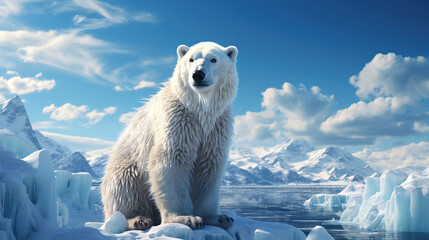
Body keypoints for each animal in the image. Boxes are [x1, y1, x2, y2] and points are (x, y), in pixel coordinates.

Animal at [100, 41, 237, 231]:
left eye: (214, 59)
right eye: (191, 59)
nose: (198, 74)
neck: (199, 109)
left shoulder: (217, 126)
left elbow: (209, 166)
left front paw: (219, 218)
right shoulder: (178, 118)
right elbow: (172, 160)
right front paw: (186, 218)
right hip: (126, 166)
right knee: (126, 188)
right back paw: (138, 219)